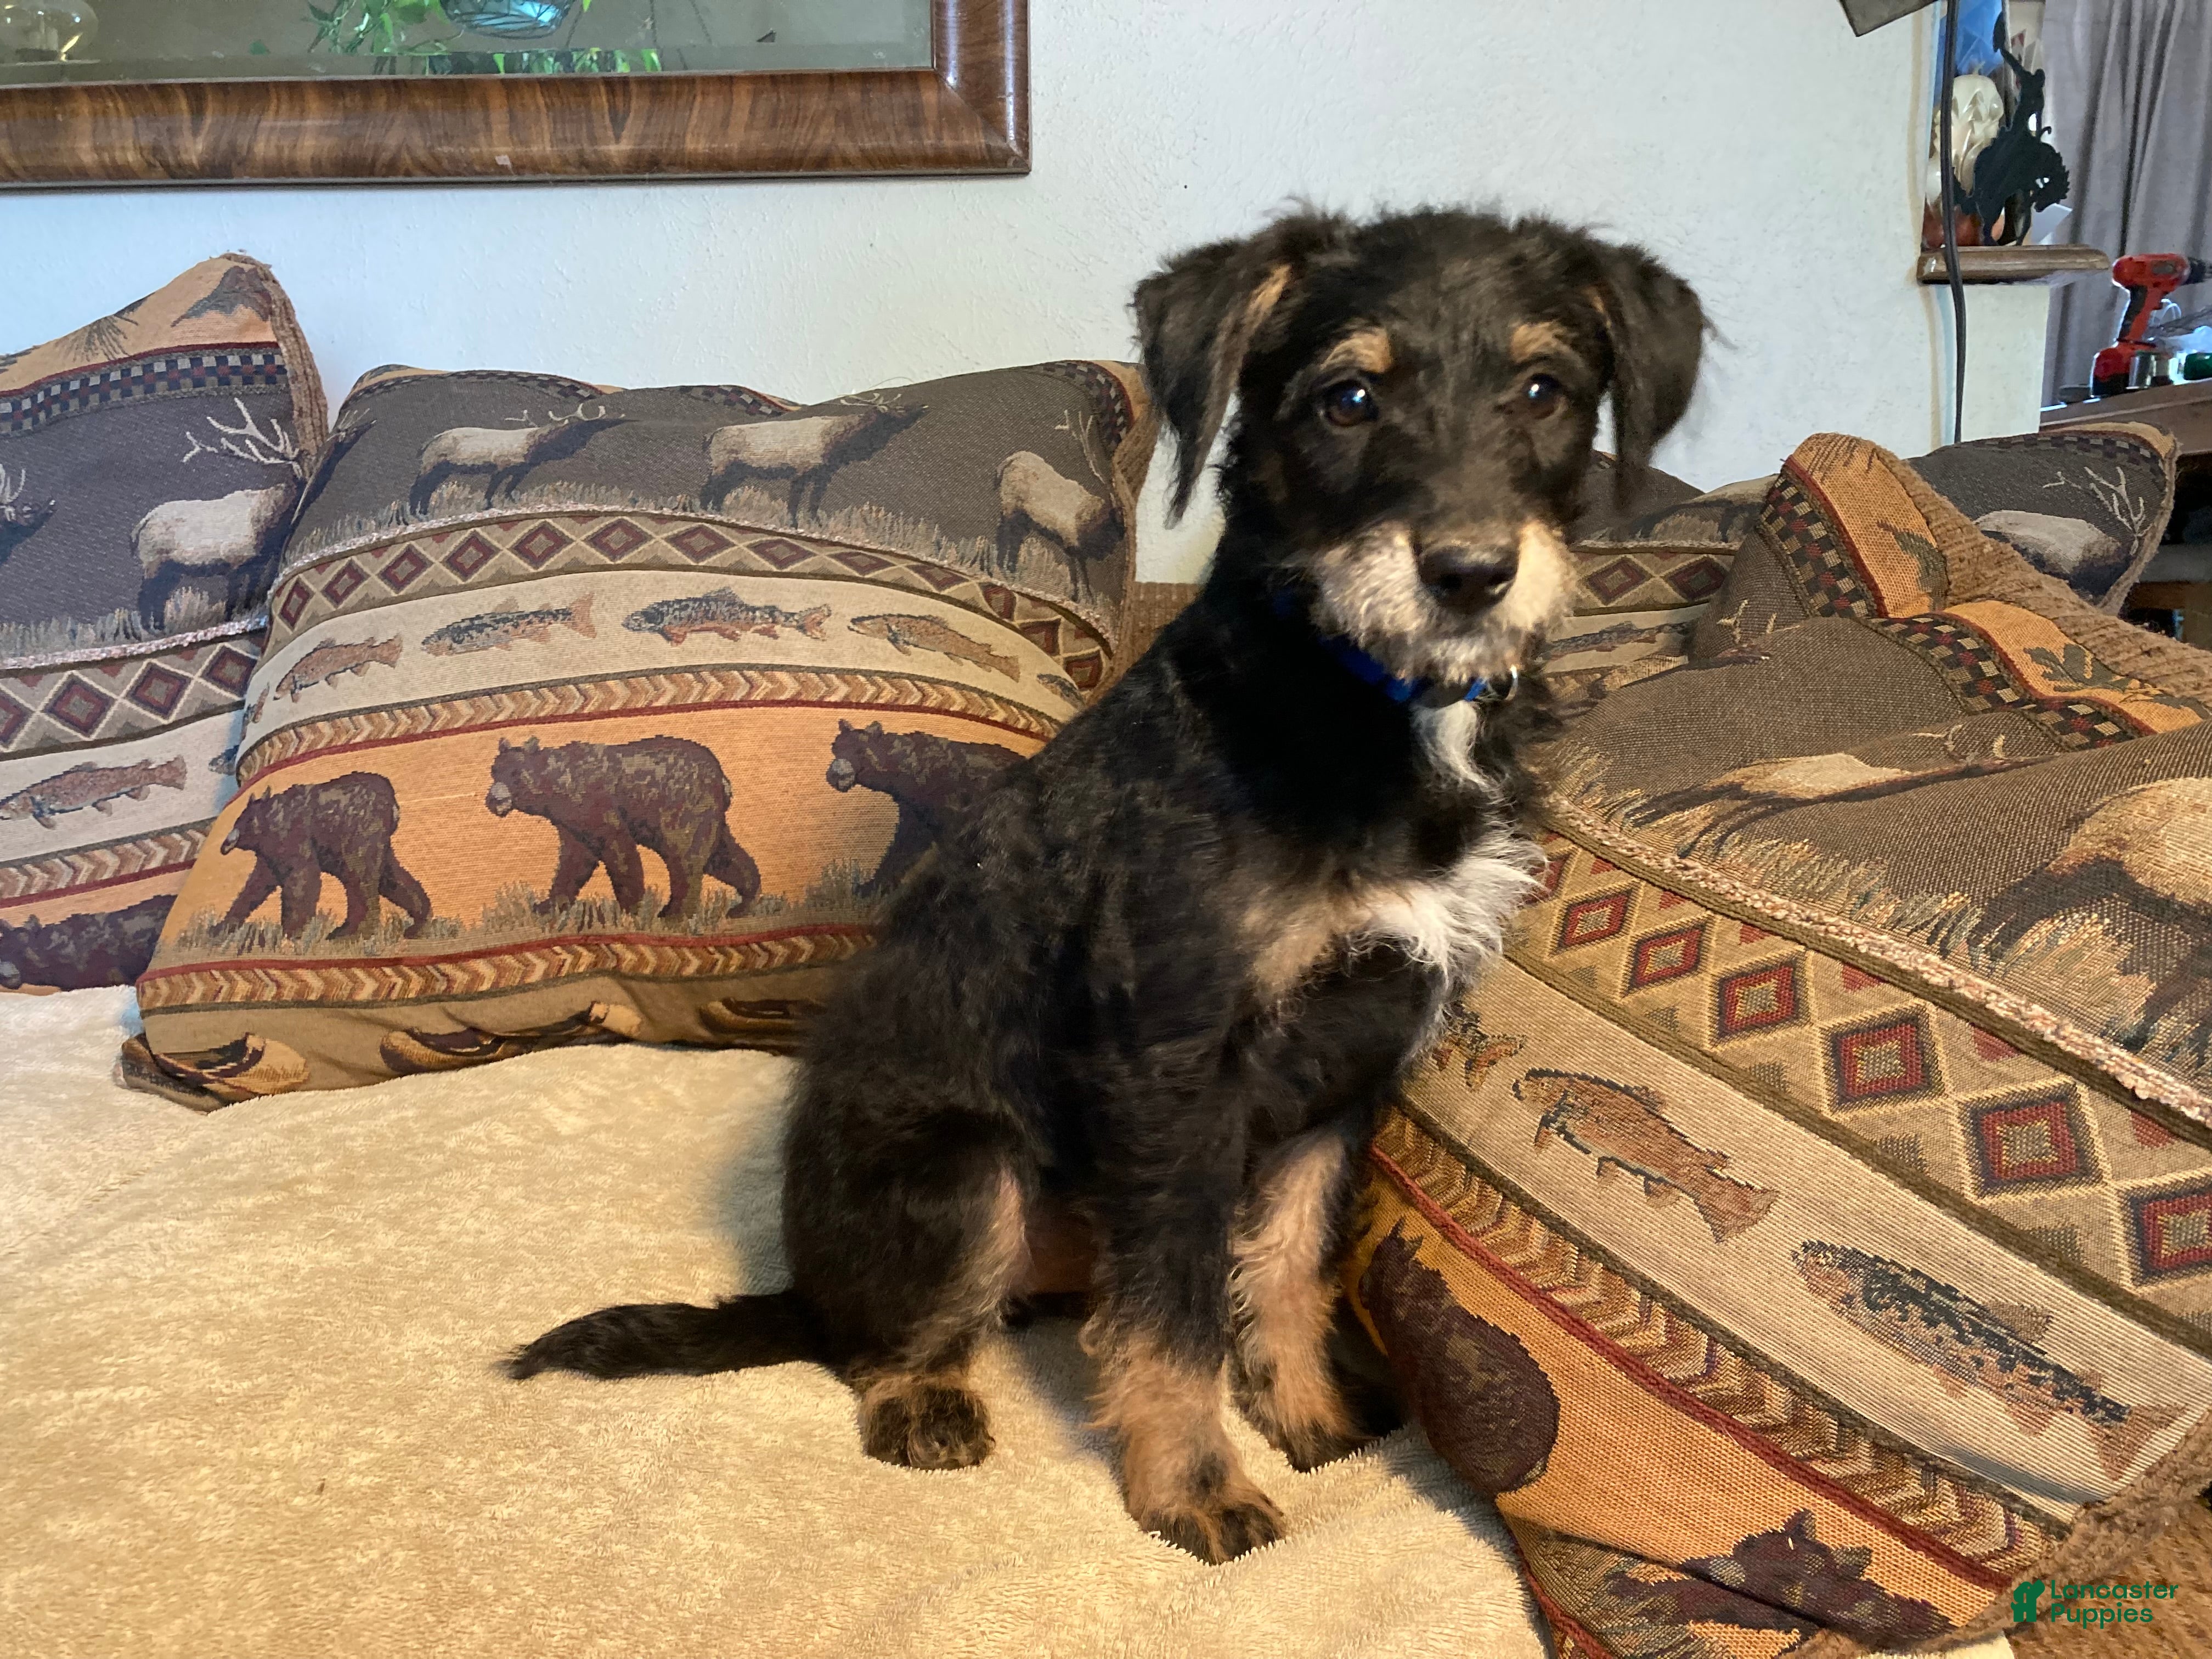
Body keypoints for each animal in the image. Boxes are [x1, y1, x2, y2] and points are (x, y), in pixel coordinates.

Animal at [218, 771, 433, 940]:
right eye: (239, 819)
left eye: (246, 821)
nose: (225, 844)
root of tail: (394, 804)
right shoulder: (270, 856)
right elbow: (254, 887)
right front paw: (222, 928)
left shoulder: (293, 840)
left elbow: (301, 880)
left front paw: (293, 932)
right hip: (374, 843)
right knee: (389, 876)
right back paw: (418, 924)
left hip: (357, 833)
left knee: (361, 878)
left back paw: (352, 933)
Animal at [485, 734, 762, 921]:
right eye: (494, 771)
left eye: (516, 775)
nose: (494, 800)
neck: (559, 788)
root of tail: (723, 779)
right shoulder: (570, 821)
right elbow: (574, 861)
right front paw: (545, 905)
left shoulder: (596, 806)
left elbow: (619, 850)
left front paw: (630, 909)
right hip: (710, 816)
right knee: (723, 856)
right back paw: (743, 904)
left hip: (683, 806)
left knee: (685, 857)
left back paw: (673, 915)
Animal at [825, 719, 1025, 897]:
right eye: (836, 748)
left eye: (860, 751)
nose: (836, 775)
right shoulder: (915, 812)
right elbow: (902, 849)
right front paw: (868, 889)